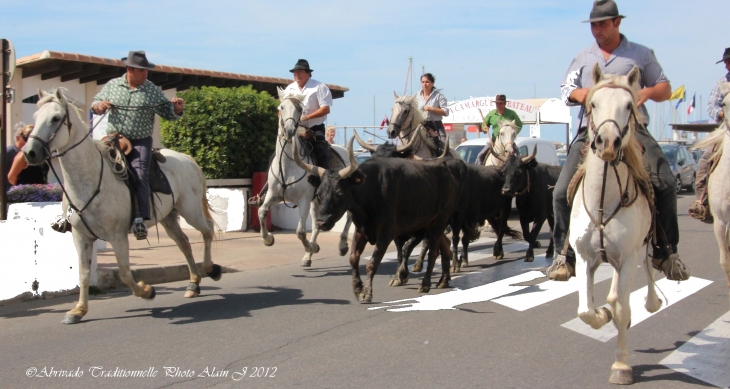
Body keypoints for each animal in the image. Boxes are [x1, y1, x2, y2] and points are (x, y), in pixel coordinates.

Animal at [22, 89, 222, 322]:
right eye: (35, 117)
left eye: (55, 118)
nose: (30, 152)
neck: (90, 178)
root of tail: (187, 158)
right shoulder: (80, 236)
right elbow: (83, 274)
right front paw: (78, 310)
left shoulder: (117, 236)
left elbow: (125, 273)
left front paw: (147, 291)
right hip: (169, 217)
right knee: (184, 243)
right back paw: (193, 285)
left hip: (190, 210)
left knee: (207, 230)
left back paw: (211, 269)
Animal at [258, 87, 352, 264]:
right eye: (281, 107)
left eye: (300, 109)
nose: (288, 130)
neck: (287, 166)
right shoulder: (274, 195)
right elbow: (261, 212)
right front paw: (268, 239)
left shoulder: (304, 200)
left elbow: (300, 231)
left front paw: (311, 247)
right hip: (317, 201)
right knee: (316, 224)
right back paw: (308, 256)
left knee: (349, 216)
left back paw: (342, 246)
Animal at [296, 138, 466, 302]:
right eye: (318, 193)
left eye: (339, 193)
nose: (320, 222)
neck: (371, 190)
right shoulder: (361, 231)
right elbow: (353, 259)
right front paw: (357, 288)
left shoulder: (386, 233)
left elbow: (373, 262)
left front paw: (367, 293)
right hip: (430, 224)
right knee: (445, 245)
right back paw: (443, 280)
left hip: (440, 221)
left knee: (434, 252)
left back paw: (425, 284)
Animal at [564, 65, 664, 384]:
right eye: (593, 104)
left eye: (629, 106)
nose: (608, 143)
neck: (603, 201)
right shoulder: (584, 257)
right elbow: (586, 309)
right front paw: (601, 315)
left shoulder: (629, 256)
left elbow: (620, 307)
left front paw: (621, 366)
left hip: (640, 251)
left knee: (644, 276)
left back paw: (651, 301)